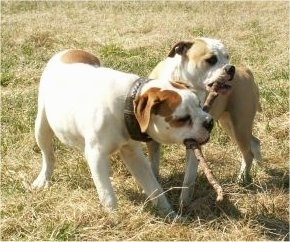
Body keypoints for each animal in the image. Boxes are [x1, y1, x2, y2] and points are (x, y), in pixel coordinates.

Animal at [32, 49, 214, 216]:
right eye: (182, 118)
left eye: (199, 104)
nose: (209, 122)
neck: (128, 101)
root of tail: (68, 51)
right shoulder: (96, 154)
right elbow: (108, 196)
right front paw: (114, 217)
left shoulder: (133, 153)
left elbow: (154, 187)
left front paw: (169, 214)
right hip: (41, 127)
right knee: (48, 156)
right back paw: (43, 179)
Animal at [148, 37, 262, 206]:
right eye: (211, 60)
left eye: (227, 56)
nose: (231, 68)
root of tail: (246, 71)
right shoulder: (152, 141)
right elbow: (153, 169)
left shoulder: (195, 144)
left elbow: (188, 179)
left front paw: (183, 206)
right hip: (229, 125)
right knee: (254, 143)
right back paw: (259, 167)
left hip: (240, 126)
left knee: (247, 152)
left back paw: (242, 178)